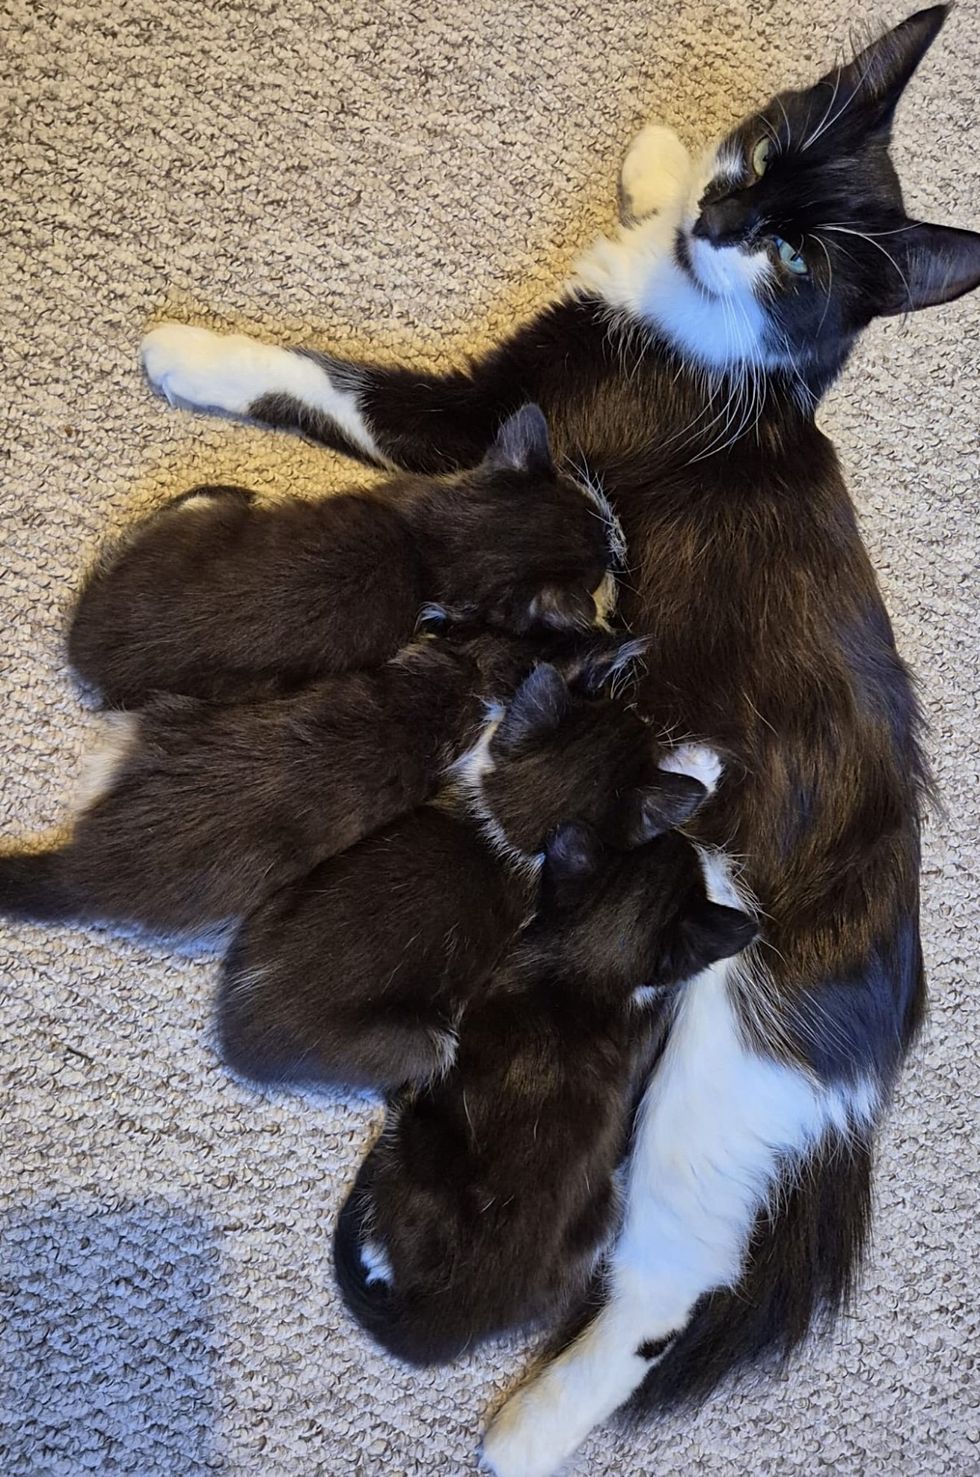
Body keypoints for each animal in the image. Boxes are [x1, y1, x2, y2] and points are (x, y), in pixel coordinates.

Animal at [216, 652, 711, 1092]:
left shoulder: (482, 765)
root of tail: (238, 1034)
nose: (640, 714)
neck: (519, 813)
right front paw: (704, 765)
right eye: (624, 717)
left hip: (277, 902)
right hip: (424, 1042)